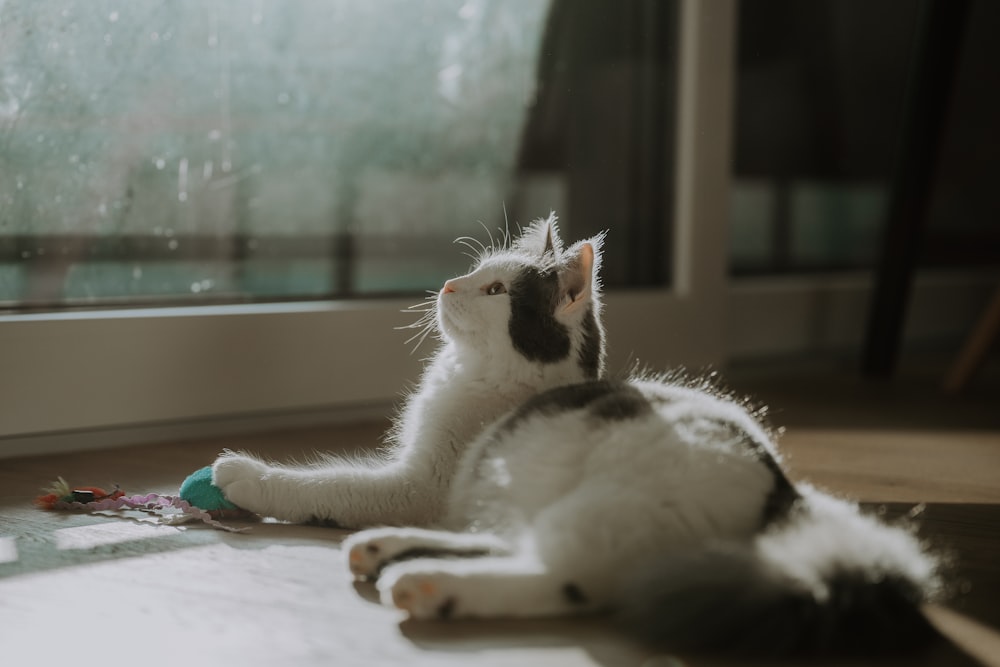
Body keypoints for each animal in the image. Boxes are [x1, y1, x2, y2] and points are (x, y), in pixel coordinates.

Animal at [211, 217, 936, 656]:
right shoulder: (442, 487)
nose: (448, 284)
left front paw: (243, 474)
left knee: (553, 574)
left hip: (603, 506)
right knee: (507, 543)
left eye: (495, 291)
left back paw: (430, 584)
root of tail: (787, 493)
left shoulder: (420, 480)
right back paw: (389, 550)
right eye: (476, 274)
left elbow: (326, 481)